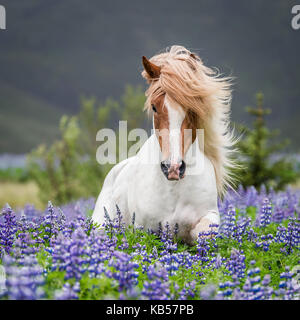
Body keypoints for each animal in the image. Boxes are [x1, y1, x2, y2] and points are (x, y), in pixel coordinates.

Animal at [92, 45, 236, 244]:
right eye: (154, 107)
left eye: (192, 109)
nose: (173, 168)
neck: (173, 190)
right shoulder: (146, 229)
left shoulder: (208, 215)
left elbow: (204, 233)